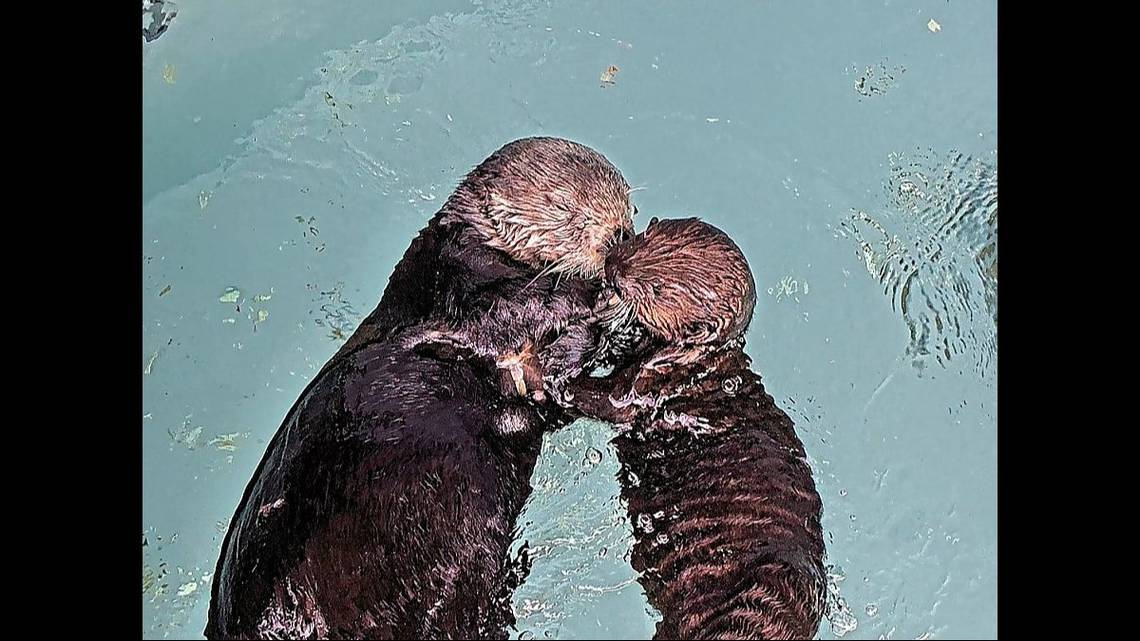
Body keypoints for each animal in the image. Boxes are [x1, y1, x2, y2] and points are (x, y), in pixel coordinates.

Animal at [204, 137, 633, 634]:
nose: (619, 236)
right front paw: (586, 299)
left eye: (629, 206)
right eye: (562, 207)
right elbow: (501, 311)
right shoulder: (451, 272)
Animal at [565, 215, 825, 638]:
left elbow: (613, 402)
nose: (613, 267)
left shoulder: (654, 385)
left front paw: (554, 378)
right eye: (643, 238)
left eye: (658, 289)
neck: (697, 363)